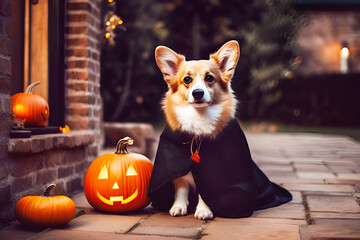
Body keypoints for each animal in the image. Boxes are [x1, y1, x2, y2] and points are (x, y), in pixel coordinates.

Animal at [154, 40, 239, 219]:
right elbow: (181, 188)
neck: (198, 118)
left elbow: (205, 192)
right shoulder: (178, 172)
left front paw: (204, 210)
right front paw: (178, 206)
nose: (198, 93)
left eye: (209, 78)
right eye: (187, 79)